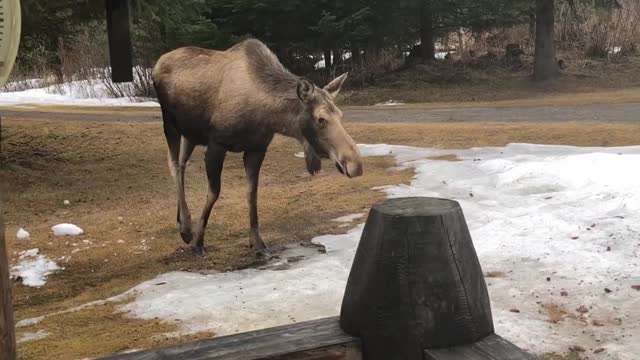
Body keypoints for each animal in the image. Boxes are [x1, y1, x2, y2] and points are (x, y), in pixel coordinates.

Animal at [152, 38, 362, 256]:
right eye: (321, 119)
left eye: (340, 115)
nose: (355, 163)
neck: (267, 116)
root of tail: (157, 64)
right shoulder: (217, 144)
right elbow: (214, 192)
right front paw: (198, 241)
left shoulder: (257, 149)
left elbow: (252, 194)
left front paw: (257, 242)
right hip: (170, 123)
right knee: (173, 164)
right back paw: (186, 227)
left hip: (191, 134)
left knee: (182, 164)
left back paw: (182, 220)